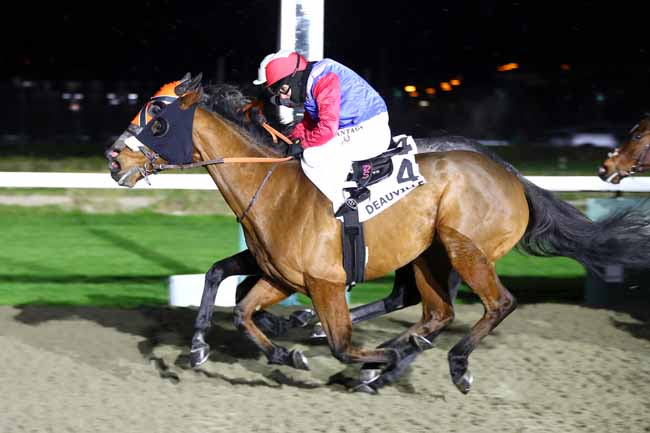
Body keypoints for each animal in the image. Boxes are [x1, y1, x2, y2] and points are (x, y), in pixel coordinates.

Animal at [104, 73, 648, 392]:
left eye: (156, 119)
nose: (113, 159)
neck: (272, 183)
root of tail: (512, 176)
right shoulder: (279, 274)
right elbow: (233, 298)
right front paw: (251, 347)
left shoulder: (323, 281)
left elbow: (341, 341)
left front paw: (359, 354)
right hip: (429, 256)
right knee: (433, 312)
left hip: (462, 248)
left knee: (494, 304)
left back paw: (441, 364)